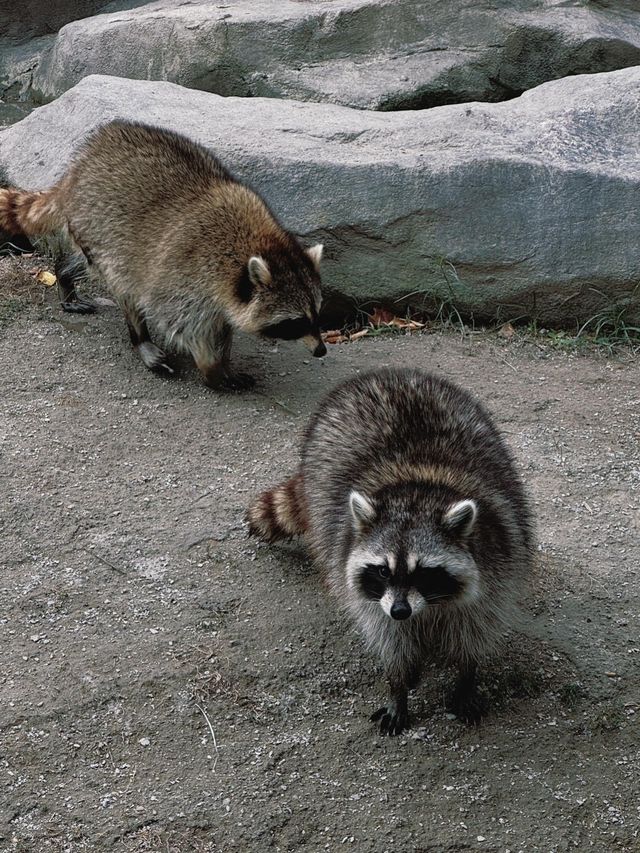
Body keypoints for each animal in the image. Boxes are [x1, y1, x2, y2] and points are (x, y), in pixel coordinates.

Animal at [0, 120, 328, 386]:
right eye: (296, 322)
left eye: (317, 313)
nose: (322, 350)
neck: (258, 242)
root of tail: (76, 169)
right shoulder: (186, 273)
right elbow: (181, 321)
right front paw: (211, 366)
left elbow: (222, 324)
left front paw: (225, 361)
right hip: (99, 225)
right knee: (126, 286)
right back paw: (140, 339)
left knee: (83, 261)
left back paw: (64, 275)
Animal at [248, 370, 532, 736]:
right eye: (383, 570)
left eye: (424, 572)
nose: (400, 611)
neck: (418, 489)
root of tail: (385, 373)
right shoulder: (370, 594)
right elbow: (390, 639)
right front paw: (398, 685)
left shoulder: (497, 567)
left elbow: (473, 631)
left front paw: (467, 678)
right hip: (319, 478)